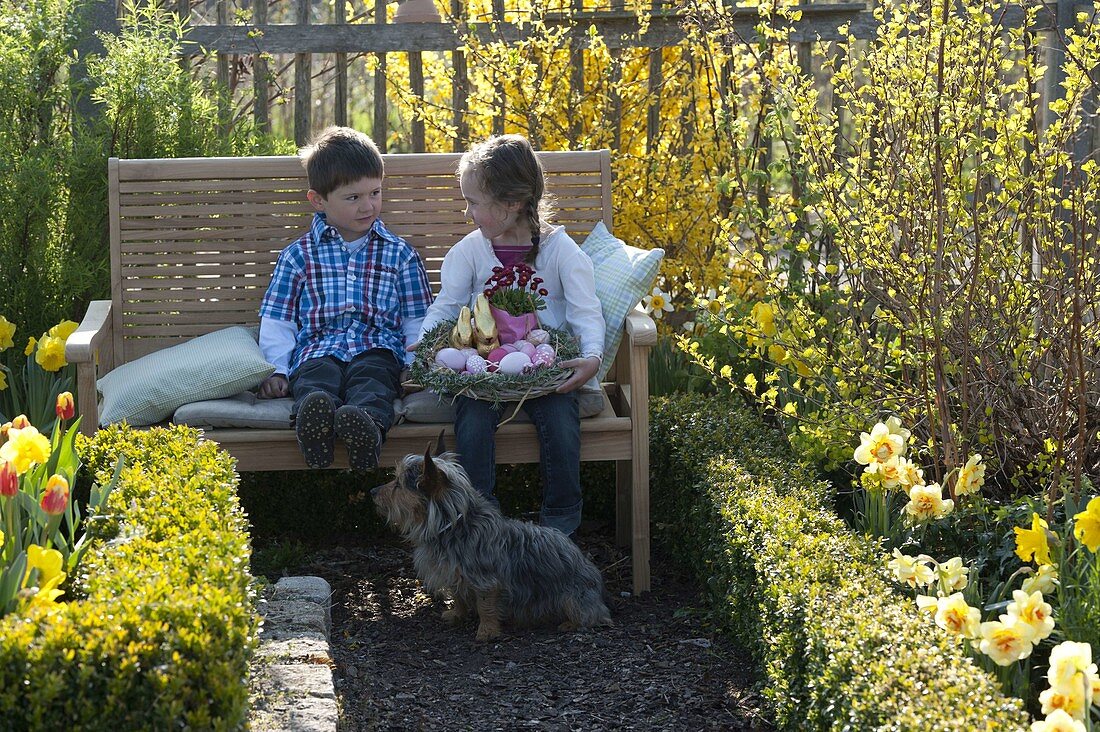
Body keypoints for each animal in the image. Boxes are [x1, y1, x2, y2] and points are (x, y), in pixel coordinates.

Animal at [369, 433, 611, 638]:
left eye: (398, 484)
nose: (372, 492)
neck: (453, 525)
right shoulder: (453, 572)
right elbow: (458, 595)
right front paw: (456, 614)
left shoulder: (485, 580)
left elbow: (485, 606)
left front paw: (486, 632)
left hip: (573, 598)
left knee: (594, 616)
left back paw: (570, 623)